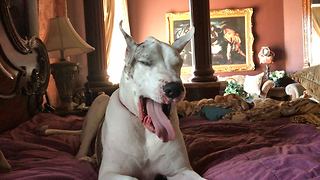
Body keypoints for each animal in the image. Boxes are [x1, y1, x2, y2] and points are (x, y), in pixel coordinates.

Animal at [60, 21, 205, 180]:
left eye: (179, 62)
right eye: (144, 62)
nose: (174, 88)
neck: (144, 130)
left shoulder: (181, 170)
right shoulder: (110, 172)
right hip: (99, 103)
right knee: (82, 146)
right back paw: (86, 158)